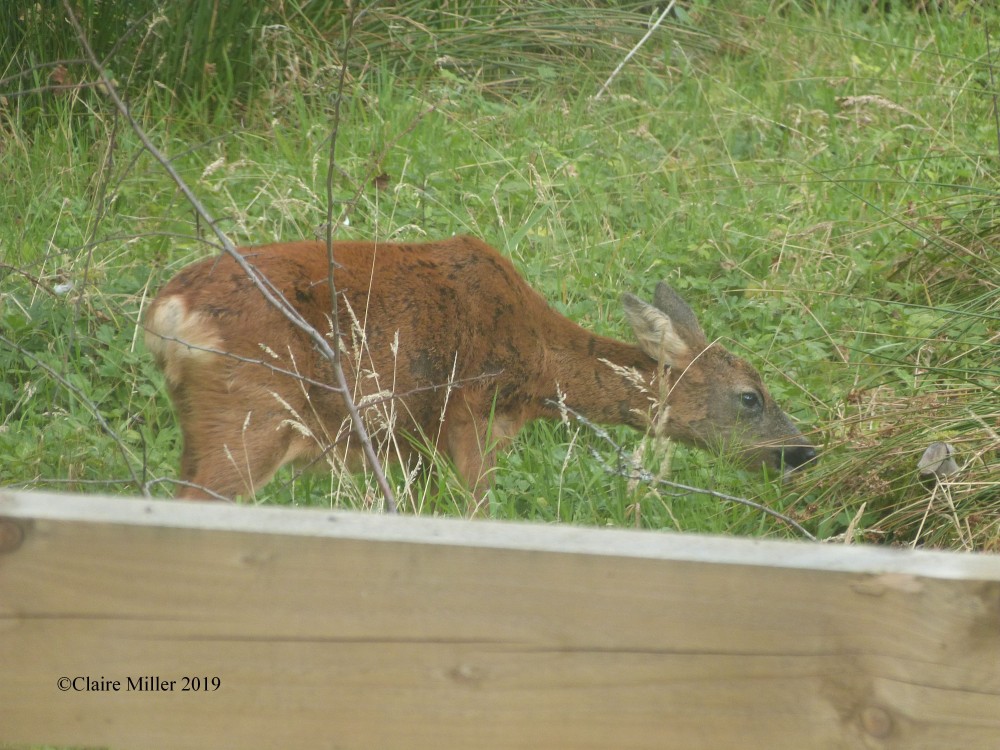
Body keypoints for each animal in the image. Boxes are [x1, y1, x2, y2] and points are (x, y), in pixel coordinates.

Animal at [145, 236, 816, 512]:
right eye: (751, 397)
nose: (803, 451)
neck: (536, 363)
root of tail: (168, 312)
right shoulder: (472, 417)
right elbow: (478, 513)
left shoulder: (410, 442)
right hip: (251, 415)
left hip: (201, 424)